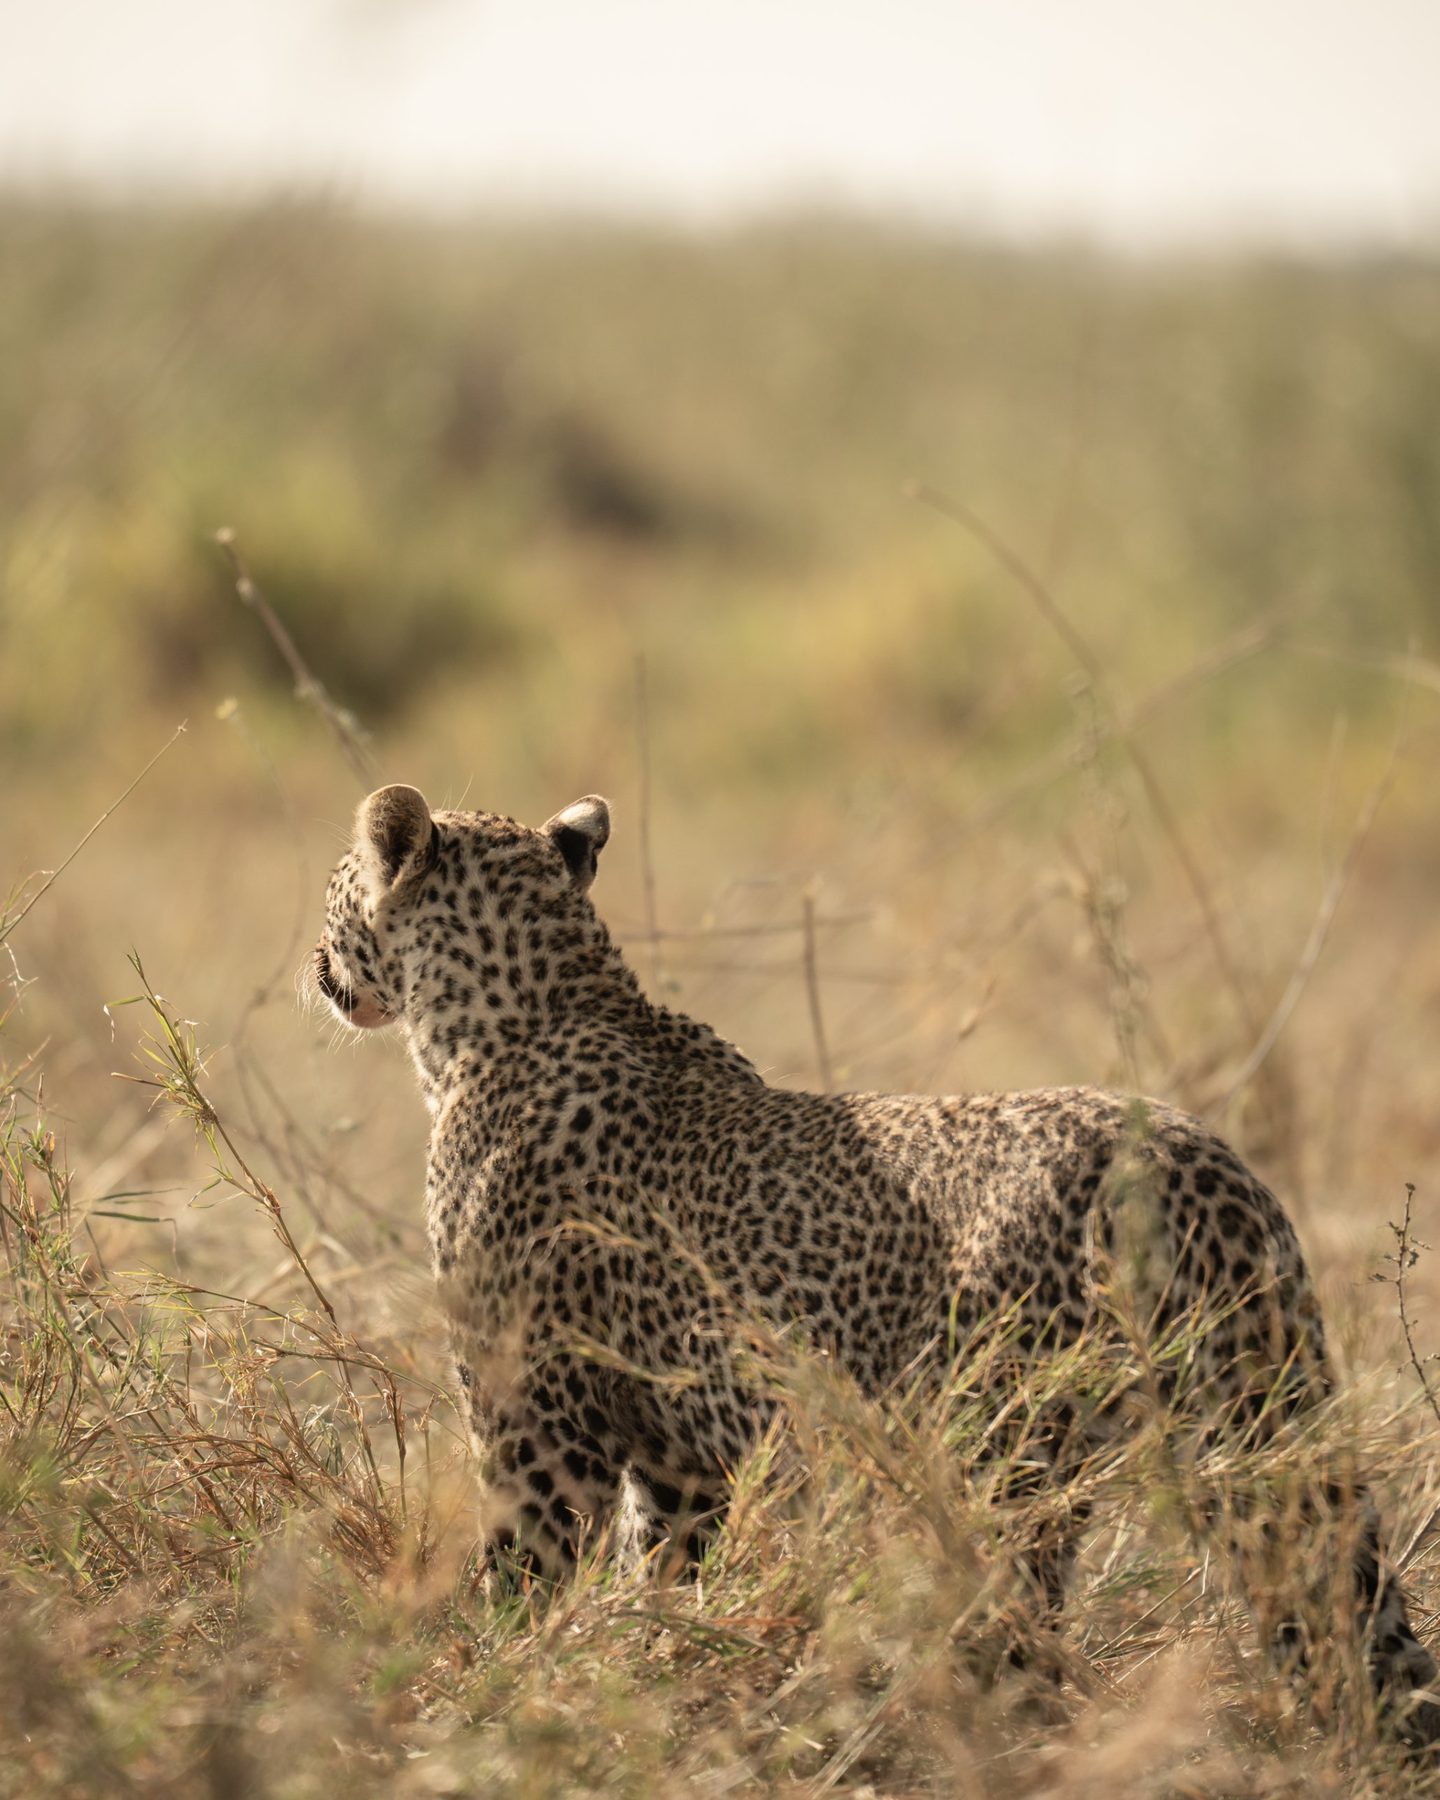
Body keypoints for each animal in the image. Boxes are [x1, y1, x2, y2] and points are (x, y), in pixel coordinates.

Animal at [313, 781, 1438, 1743]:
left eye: (333, 885)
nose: (314, 964)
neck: (512, 1015)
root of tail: (1190, 1160)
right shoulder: (678, 1455)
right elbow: (665, 1571)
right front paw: (649, 1667)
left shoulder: (534, 1421)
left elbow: (525, 1574)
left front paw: (501, 1679)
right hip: (1260, 1415)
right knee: (1339, 1606)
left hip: (999, 1451)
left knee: (1018, 1632)